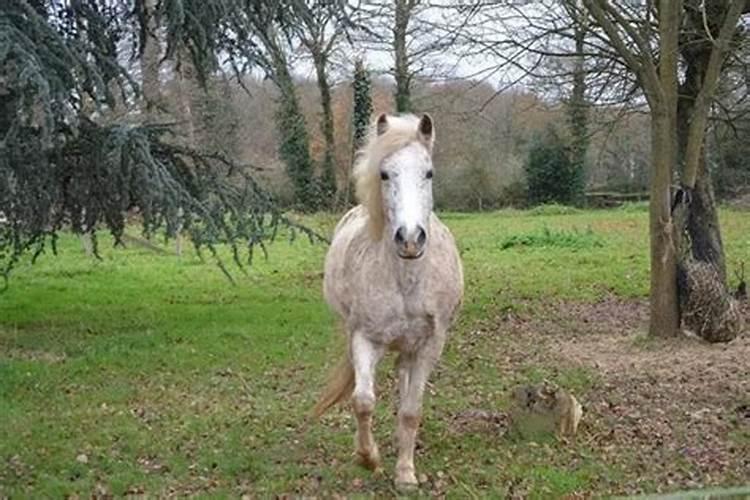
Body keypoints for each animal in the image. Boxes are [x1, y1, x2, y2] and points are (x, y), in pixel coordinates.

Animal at [312, 112, 464, 488]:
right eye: (384, 173)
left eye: (428, 173)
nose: (409, 239)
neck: (406, 282)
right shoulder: (364, 339)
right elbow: (363, 401)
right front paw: (367, 457)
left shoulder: (428, 347)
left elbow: (410, 411)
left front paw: (406, 473)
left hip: (409, 349)